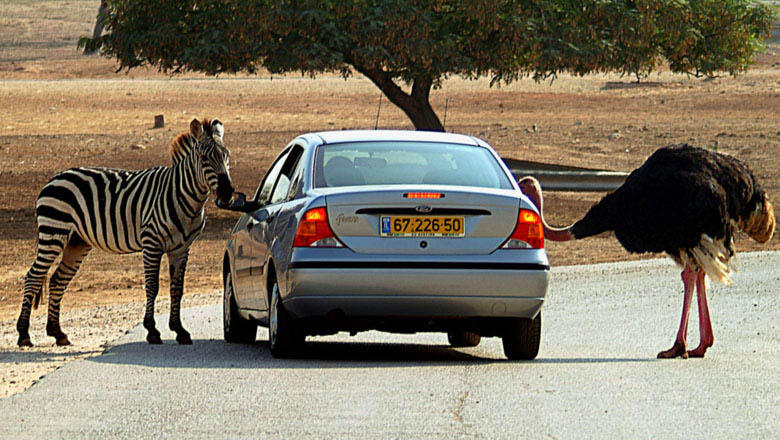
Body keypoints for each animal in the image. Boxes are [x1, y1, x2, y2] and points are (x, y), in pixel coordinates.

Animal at [16, 118, 235, 348]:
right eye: (204, 158)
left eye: (226, 155)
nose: (227, 194)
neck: (182, 196)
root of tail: (55, 178)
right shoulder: (151, 243)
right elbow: (152, 286)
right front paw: (152, 330)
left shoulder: (181, 249)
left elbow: (177, 288)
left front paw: (179, 330)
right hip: (53, 232)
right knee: (33, 276)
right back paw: (24, 335)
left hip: (77, 241)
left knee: (58, 279)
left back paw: (57, 333)